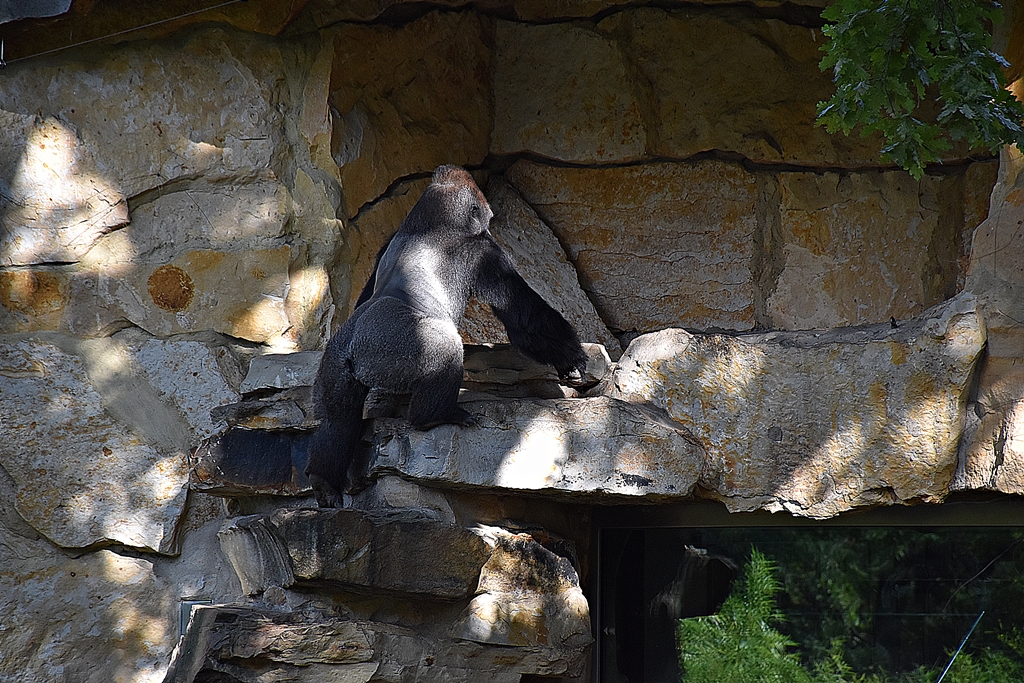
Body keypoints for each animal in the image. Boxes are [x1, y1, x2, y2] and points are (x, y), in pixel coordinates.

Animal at [305, 165, 591, 507]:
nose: (491, 225)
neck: (430, 221)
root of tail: (352, 349)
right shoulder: (481, 251)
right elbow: (525, 319)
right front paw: (571, 358)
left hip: (334, 362)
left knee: (338, 419)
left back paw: (324, 478)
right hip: (389, 349)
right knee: (446, 348)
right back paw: (433, 416)